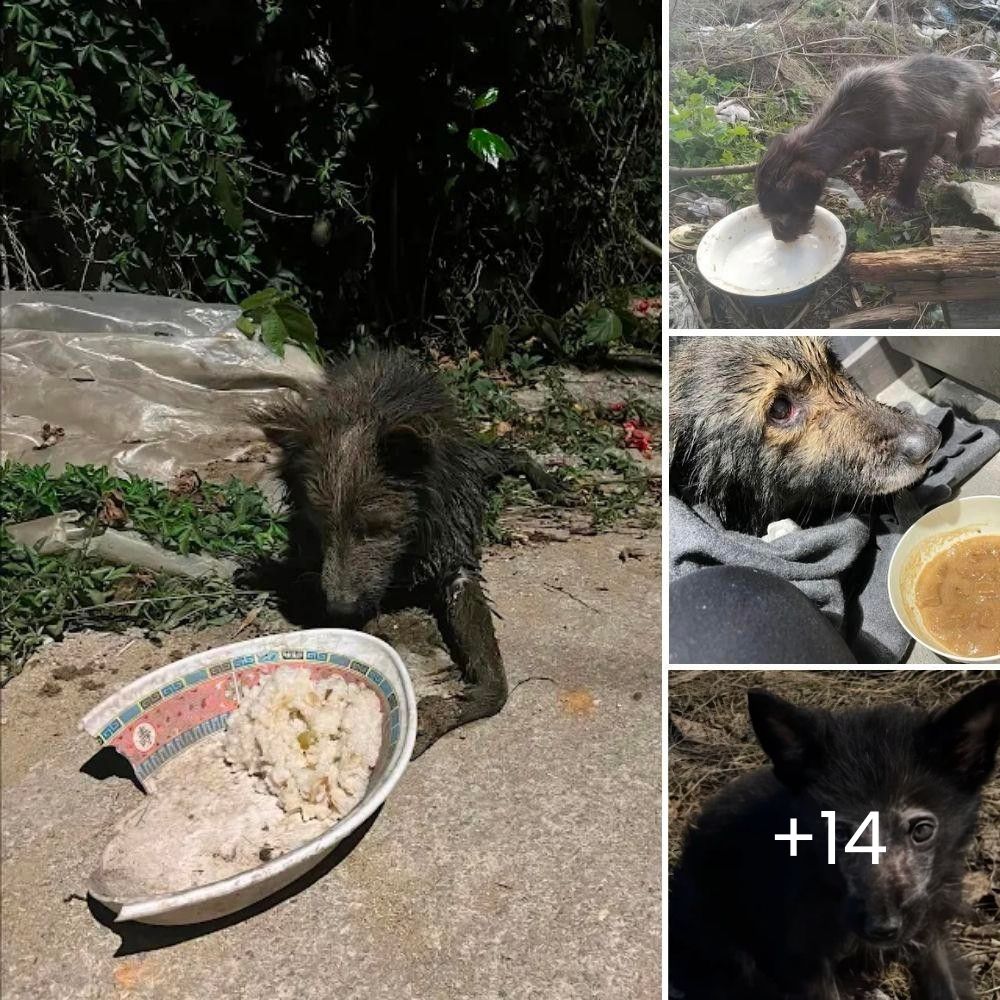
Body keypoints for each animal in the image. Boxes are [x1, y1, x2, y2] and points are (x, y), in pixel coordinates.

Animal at [254, 352, 560, 756]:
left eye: (375, 528)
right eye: (322, 527)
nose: (339, 609)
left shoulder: (454, 560)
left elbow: (497, 687)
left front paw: (443, 712)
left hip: (473, 462)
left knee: (507, 453)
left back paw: (546, 479)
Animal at [756, 54, 992, 242]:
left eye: (783, 213)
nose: (780, 239)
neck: (853, 115)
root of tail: (975, 69)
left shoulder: (922, 135)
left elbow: (911, 173)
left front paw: (902, 201)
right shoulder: (871, 142)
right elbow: (872, 155)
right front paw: (870, 175)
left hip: (968, 126)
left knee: (968, 144)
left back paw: (967, 164)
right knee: (941, 141)